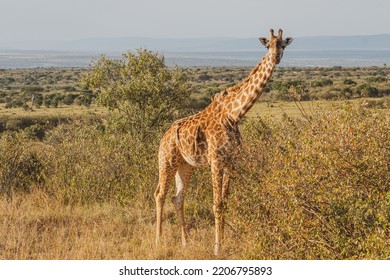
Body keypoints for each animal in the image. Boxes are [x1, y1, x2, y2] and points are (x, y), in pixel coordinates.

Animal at [155, 29, 292, 256]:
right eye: (267, 46)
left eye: (282, 45)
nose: (275, 57)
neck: (234, 115)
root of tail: (163, 136)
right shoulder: (216, 161)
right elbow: (217, 204)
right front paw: (217, 248)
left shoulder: (232, 161)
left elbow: (225, 202)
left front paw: (224, 243)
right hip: (167, 161)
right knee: (159, 194)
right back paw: (159, 241)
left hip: (186, 165)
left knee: (178, 197)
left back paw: (185, 242)